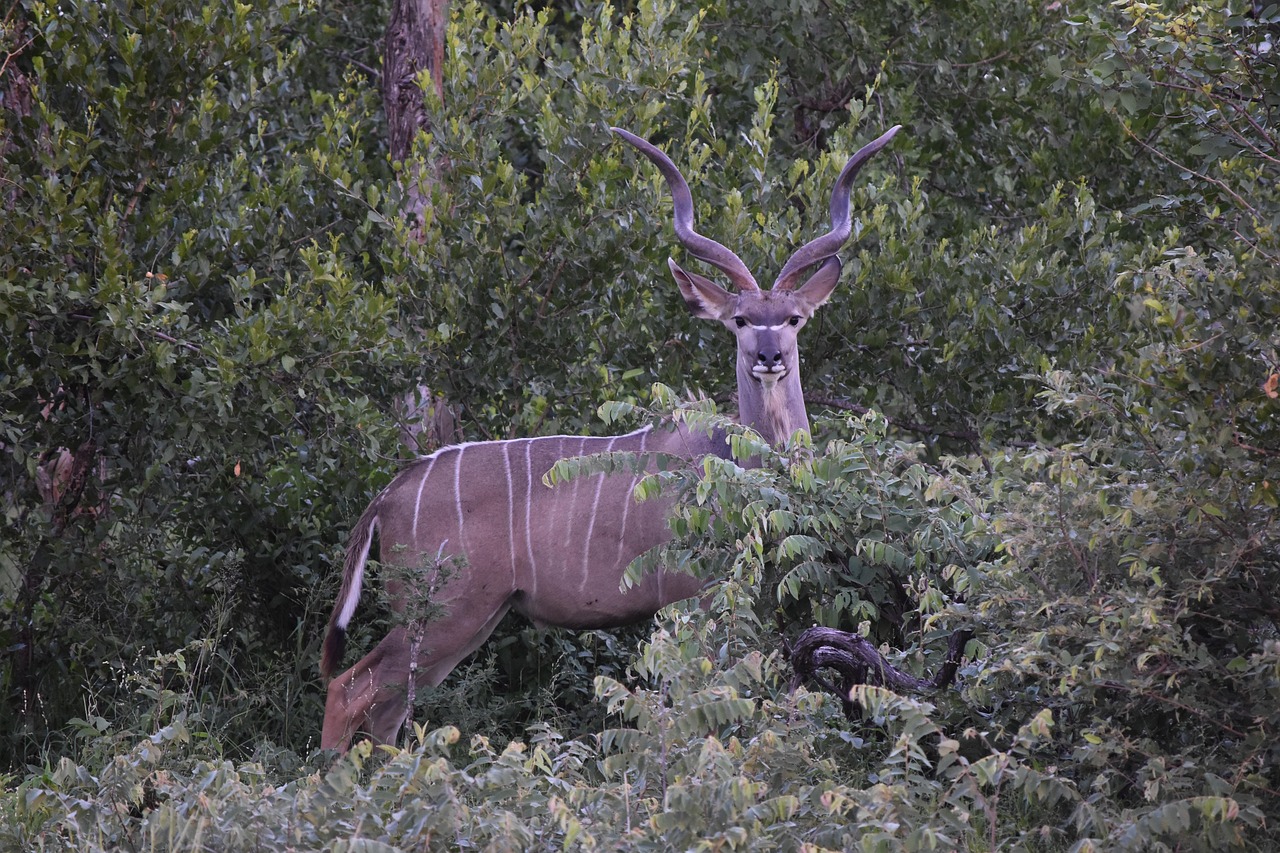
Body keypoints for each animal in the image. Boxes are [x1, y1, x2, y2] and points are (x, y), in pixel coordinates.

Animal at [320, 124, 902, 750]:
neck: (730, 460)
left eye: (794, 318)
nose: (769, 357)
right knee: (347, 689)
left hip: (472, 619)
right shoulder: (692, 594)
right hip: (444, 612)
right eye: (740, 320)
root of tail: (389, 494)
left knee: (384, 710)